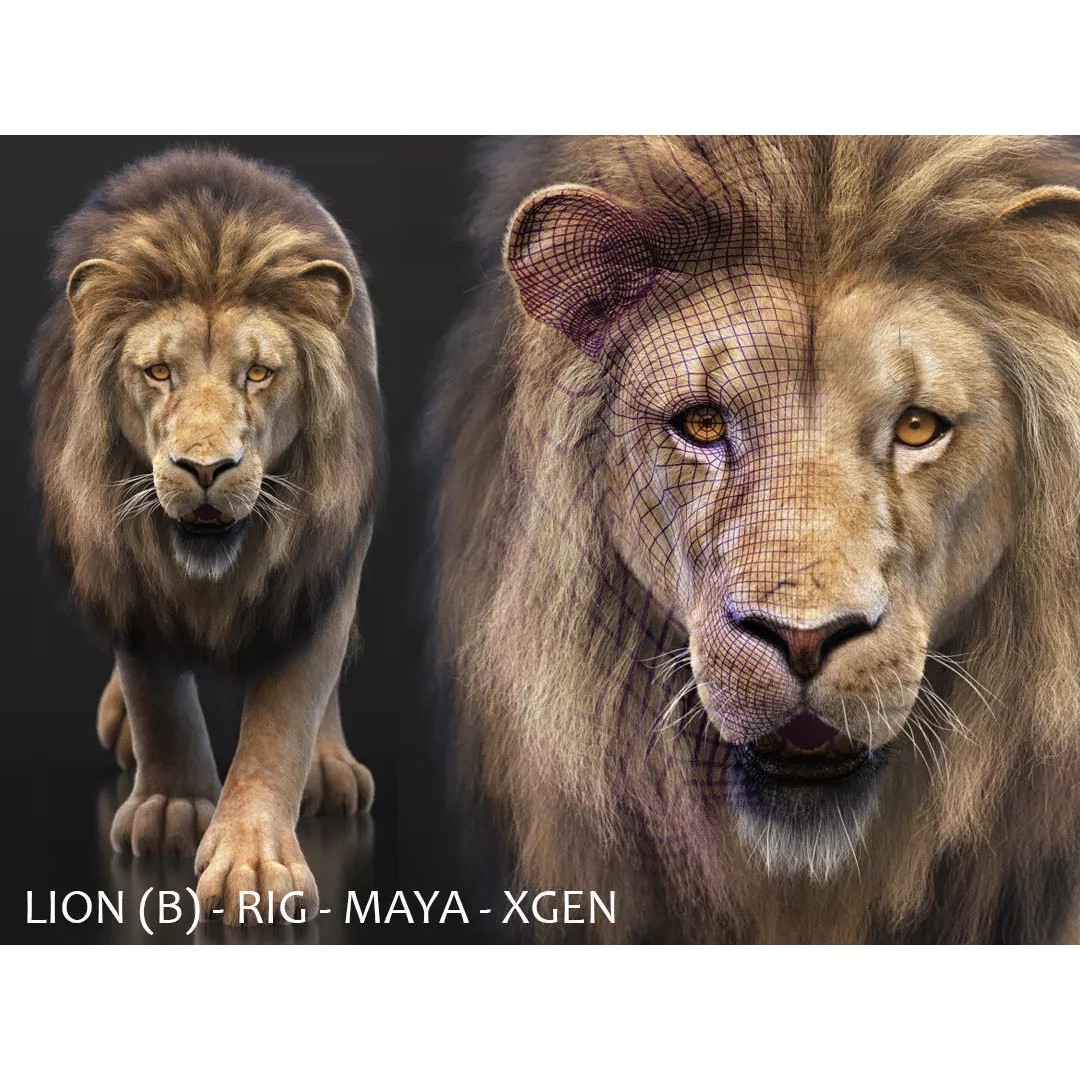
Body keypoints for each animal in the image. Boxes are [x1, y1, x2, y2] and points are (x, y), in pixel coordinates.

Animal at [29, 148, 382, 925]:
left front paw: (253, 861)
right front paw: (170, 805)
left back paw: (330, 768)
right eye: (160, 371)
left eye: (259, 372)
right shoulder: (127, 571)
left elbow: (283, 720)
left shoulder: (315, 567)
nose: (206, 469)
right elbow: (157, 696)